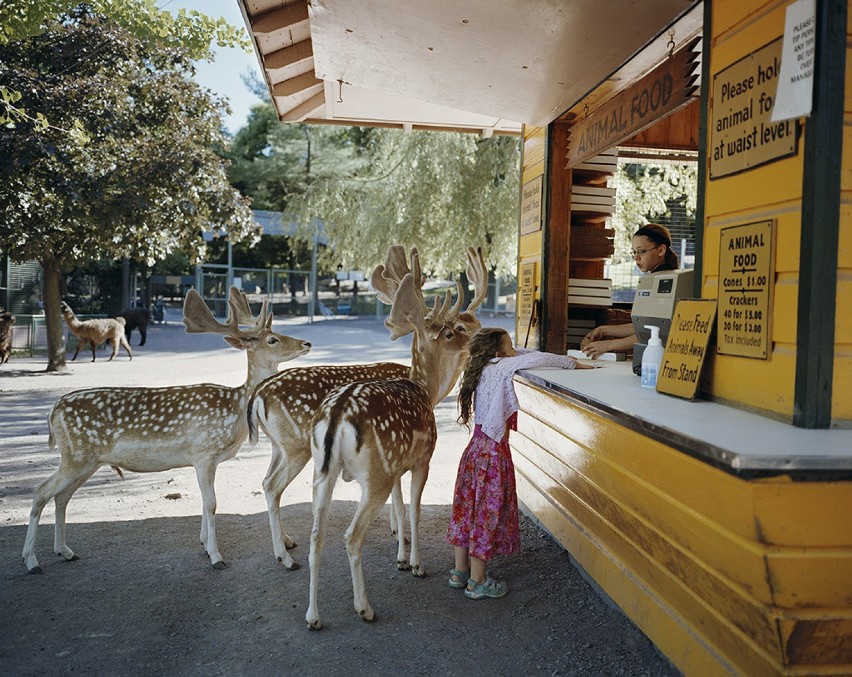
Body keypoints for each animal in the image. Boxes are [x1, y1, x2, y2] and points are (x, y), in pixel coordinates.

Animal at [21, 284, 312, 572]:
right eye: (272, 339)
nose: (307, 343)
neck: (236, 407)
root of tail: (53, 411)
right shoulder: (204, 453)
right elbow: (212, 503)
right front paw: (216, 556)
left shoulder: (205, 460)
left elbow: (205, 503)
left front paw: (204, 545)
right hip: (77, 456)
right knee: (40, 492)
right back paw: (32, 561)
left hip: (86, 461)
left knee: (61, 497)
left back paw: (65, 551)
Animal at [248, 246, 486, 568]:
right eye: (455, 329)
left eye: (477, 323)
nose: (481, 339)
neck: (430, 390)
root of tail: (259, 393)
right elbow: (402, 501)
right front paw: (403, 544)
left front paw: (399, 539)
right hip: (296, 445)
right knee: (274, 486)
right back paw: (284, 557)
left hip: (280, 445)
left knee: (266, 482)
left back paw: (286, 542)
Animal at [308, 246, 490, 632]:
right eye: (451, 332)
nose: (475, 340)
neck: (424, 389)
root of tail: (336, 415)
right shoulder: (423, 459)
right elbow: (416, 509)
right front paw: (417, 564)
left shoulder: (396, 466)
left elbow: (402, 507)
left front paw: (402, 557)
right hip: (372, 474)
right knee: (351, 535)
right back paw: (365, 608)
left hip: (324, 471)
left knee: (316, 534)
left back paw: (313, 616)